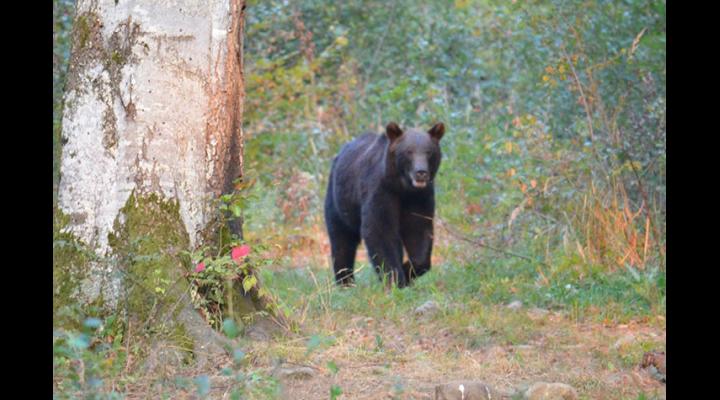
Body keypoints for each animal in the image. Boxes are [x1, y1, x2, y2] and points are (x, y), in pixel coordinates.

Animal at [322, 122, 444, 288]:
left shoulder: (420, 198)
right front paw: (394, 279)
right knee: (341, 240)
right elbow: (379, 230)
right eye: (408, 151)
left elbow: (419, 231)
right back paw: (345, 282)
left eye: (429, 152)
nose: (421, 172)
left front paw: (407, 271)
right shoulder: (381, 191)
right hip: (339, 203)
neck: (402, 188)